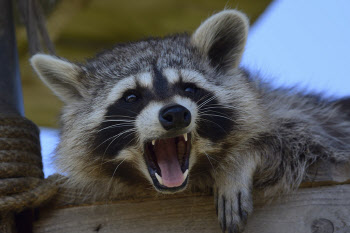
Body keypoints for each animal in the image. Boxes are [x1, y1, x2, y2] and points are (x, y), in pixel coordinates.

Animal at [30, 9, 350, 233]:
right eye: (131, 97)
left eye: (188, 88)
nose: (175, 114)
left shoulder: (303, 114)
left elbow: (304, 138)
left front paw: (238, 161)